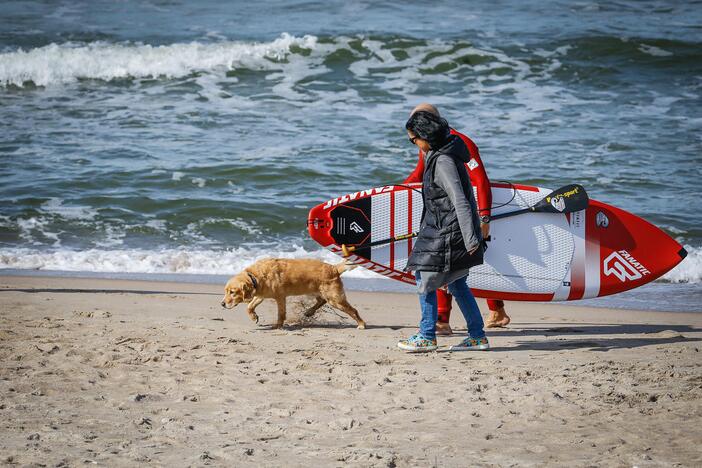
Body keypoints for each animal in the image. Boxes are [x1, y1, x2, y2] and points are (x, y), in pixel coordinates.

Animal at [221, 260, 368, 330]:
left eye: (232, 292)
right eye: (226, 291)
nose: (222, 304)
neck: (255, 276)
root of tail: (334, 268)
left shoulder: (280, 297)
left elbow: (281, 314)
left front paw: (278, 326)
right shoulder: (261, 295)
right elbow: (249, 306)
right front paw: (253, 316)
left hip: (335, 299)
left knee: (353, 310)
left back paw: (361, 324)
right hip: (317, 291)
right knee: (321, 301)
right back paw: (309, 312)